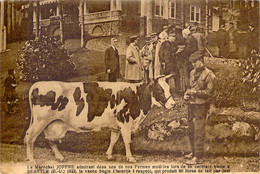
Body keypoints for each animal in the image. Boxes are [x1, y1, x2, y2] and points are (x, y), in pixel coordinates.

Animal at [24, 75, 176, 163]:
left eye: (169, 88)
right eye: (160, 89)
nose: (173, 104)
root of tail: (36, 85)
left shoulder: (116, 125)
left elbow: (113, 139)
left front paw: (109, 155)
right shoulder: (125, 120)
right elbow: (127, 141)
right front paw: (131, 158)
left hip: (53, 123)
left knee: (50, 140)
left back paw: (59, 157)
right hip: (40, 121)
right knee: (30, 137)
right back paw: (31, 160)